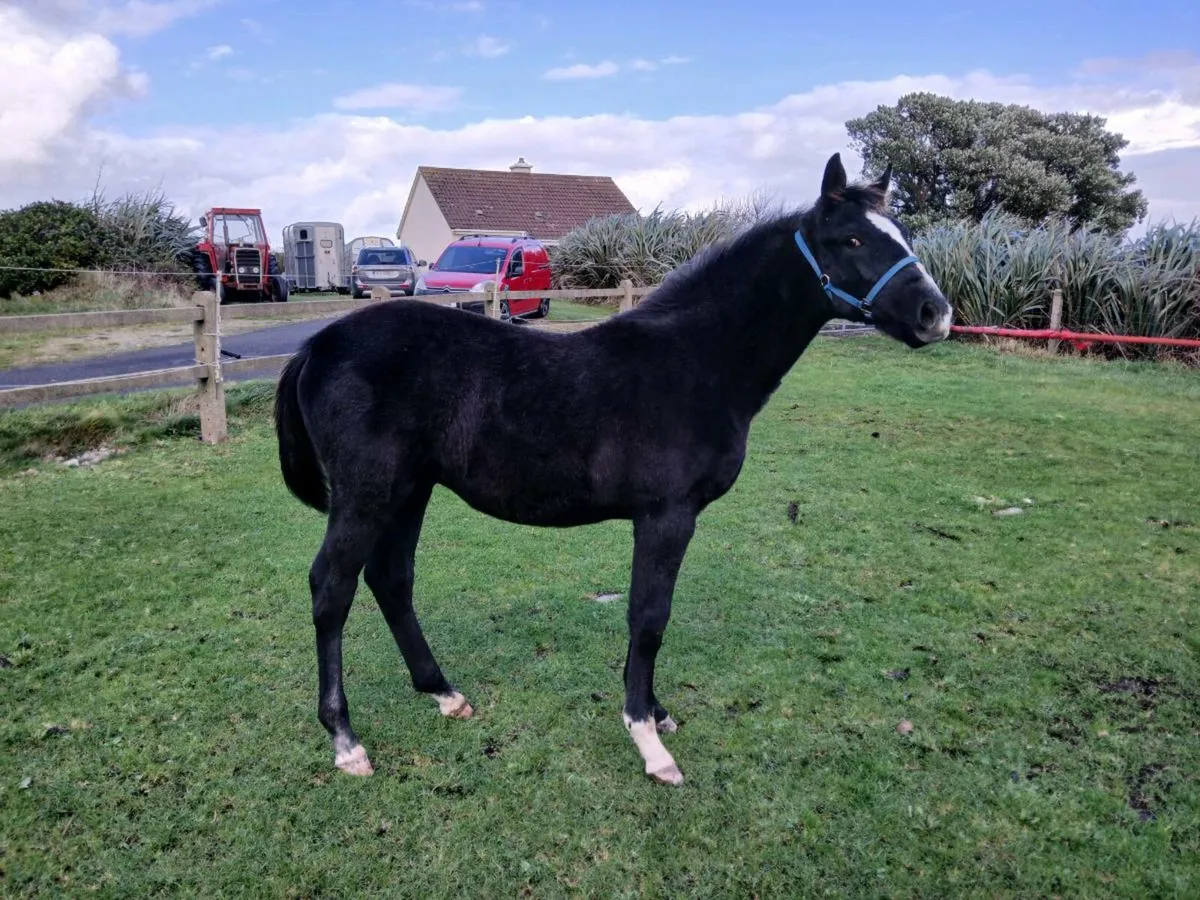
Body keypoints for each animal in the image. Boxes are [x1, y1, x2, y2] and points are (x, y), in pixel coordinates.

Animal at [273, 153, 953, 785]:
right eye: (853, 239)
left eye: (902, 232)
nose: (935, 314)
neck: (695, 362)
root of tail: (316, 347)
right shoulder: (666, 515)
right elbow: (649, 618)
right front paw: (649, 741)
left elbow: (650, 615)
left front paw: (658, 712)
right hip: (366, 494)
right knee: (331, 589)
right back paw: (346, 740)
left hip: (408, 490)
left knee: (391, 580)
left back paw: (444, 694)